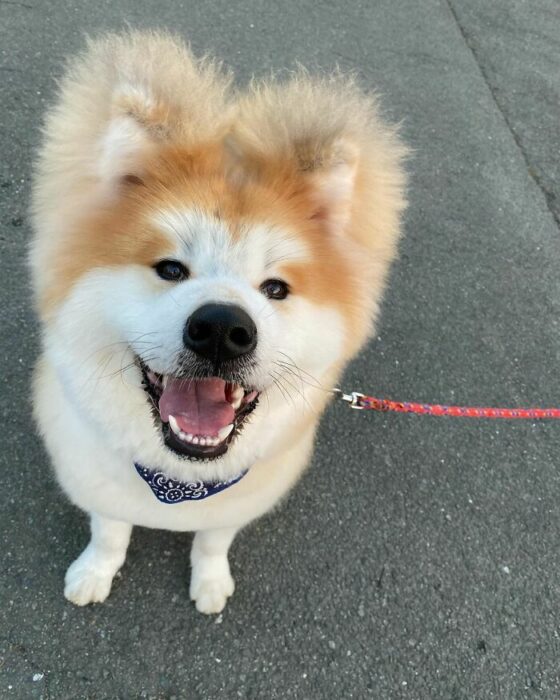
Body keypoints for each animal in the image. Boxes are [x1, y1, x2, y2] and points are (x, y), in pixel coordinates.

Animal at [30, 31, 406, 612]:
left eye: (275, 288)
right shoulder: (97, 480)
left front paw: (210, 583)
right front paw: (94, 572)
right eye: (170, 269)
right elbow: (110, 533)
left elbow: (211, 542)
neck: (181, 480)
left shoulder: (236, 501)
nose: (223, 331)